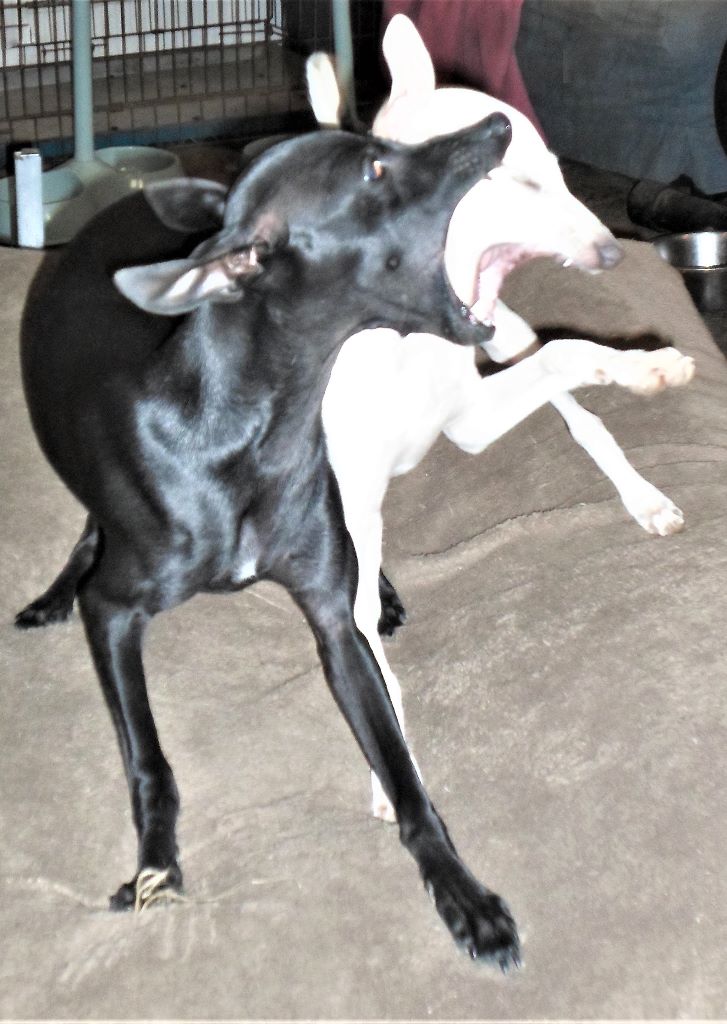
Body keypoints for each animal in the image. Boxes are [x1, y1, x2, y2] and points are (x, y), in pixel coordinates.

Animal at [16, 118, 529, 967]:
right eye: (373, 168)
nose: (497, 126)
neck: (247, 424)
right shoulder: (116, 614)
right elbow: (150, 759)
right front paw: (156, 863)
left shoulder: (333, 622)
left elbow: (403, 774)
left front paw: (462, 894)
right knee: (91, 529)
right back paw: (54, 592)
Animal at [306, 16, 695, 822]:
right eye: (506, 178)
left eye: (556, 167)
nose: (611, 253)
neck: (400, 335)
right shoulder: (351, 508)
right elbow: (360, 642)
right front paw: (391, 771)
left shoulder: (472, 418)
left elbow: (574, 357)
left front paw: (652, 369)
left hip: (509, 335)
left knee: (577, 407)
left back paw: (643, 493)